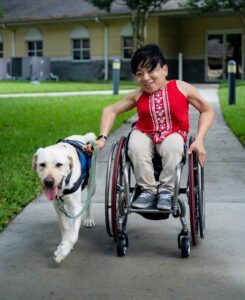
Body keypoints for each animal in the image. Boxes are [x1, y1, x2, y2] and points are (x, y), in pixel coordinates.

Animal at [32, 134, 96, 262]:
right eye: (42, 164)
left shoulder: (76, 207)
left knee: (89, 201)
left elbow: (74, 235)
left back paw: (89, 219)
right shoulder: (57, 205)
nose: (48, 182)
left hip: (91, 182)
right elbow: (64, 226)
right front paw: (65, 244)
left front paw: (63, 251)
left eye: (59, 164)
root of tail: (83, 136)